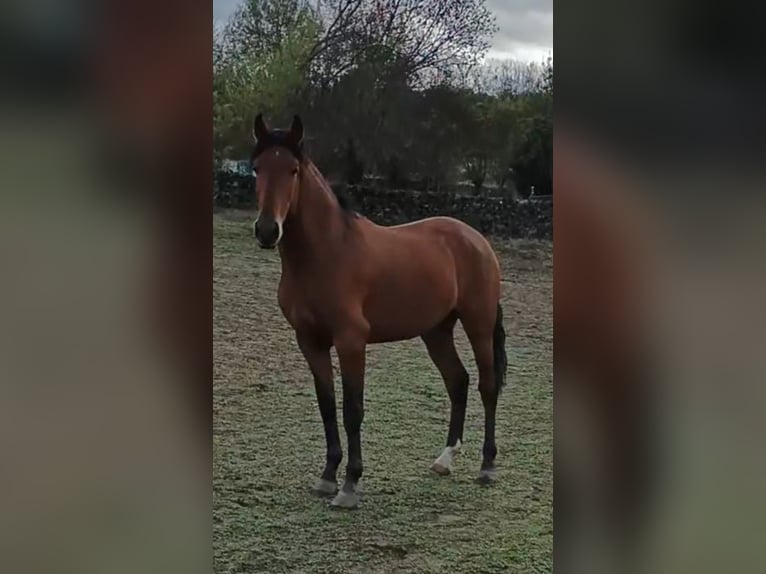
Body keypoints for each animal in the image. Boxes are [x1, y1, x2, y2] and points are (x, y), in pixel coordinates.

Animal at [252, 115, 510, 510]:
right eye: (257, 168)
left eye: (292, 170)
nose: (267, 230)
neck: (326, 253)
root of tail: (476, 239)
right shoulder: (310, 342)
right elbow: (327, 406)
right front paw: (327, 476)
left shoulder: (351, 341)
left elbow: (352, 409)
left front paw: (349, 485)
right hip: (436, 330)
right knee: (458, 381)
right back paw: (444, 459)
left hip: (477, 324)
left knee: (487, 384)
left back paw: (487, 467)